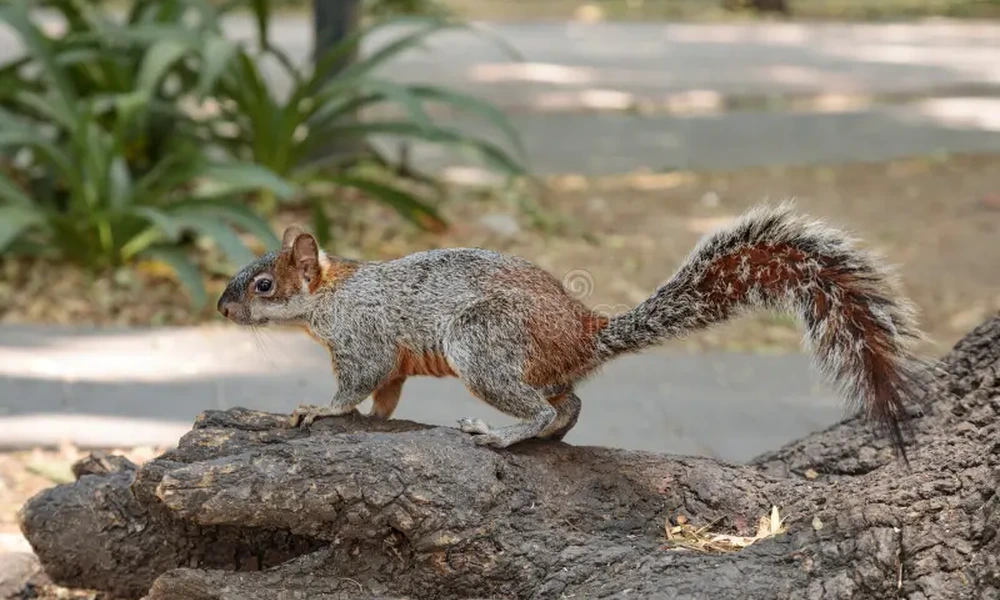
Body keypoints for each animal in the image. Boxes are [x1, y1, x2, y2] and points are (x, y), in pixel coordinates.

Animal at [217, 202, 928, 460]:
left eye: (263, 286)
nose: (222, 310)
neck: (331, 296)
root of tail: (586, 333)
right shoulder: (389, 361)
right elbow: (386, 396)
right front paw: (374, 419)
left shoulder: (363, 339)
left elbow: (354, 384)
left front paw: (319, 409)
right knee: (571, 402)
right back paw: (552, 434)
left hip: (482, 346)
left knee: (538, 405)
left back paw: (502, 435)